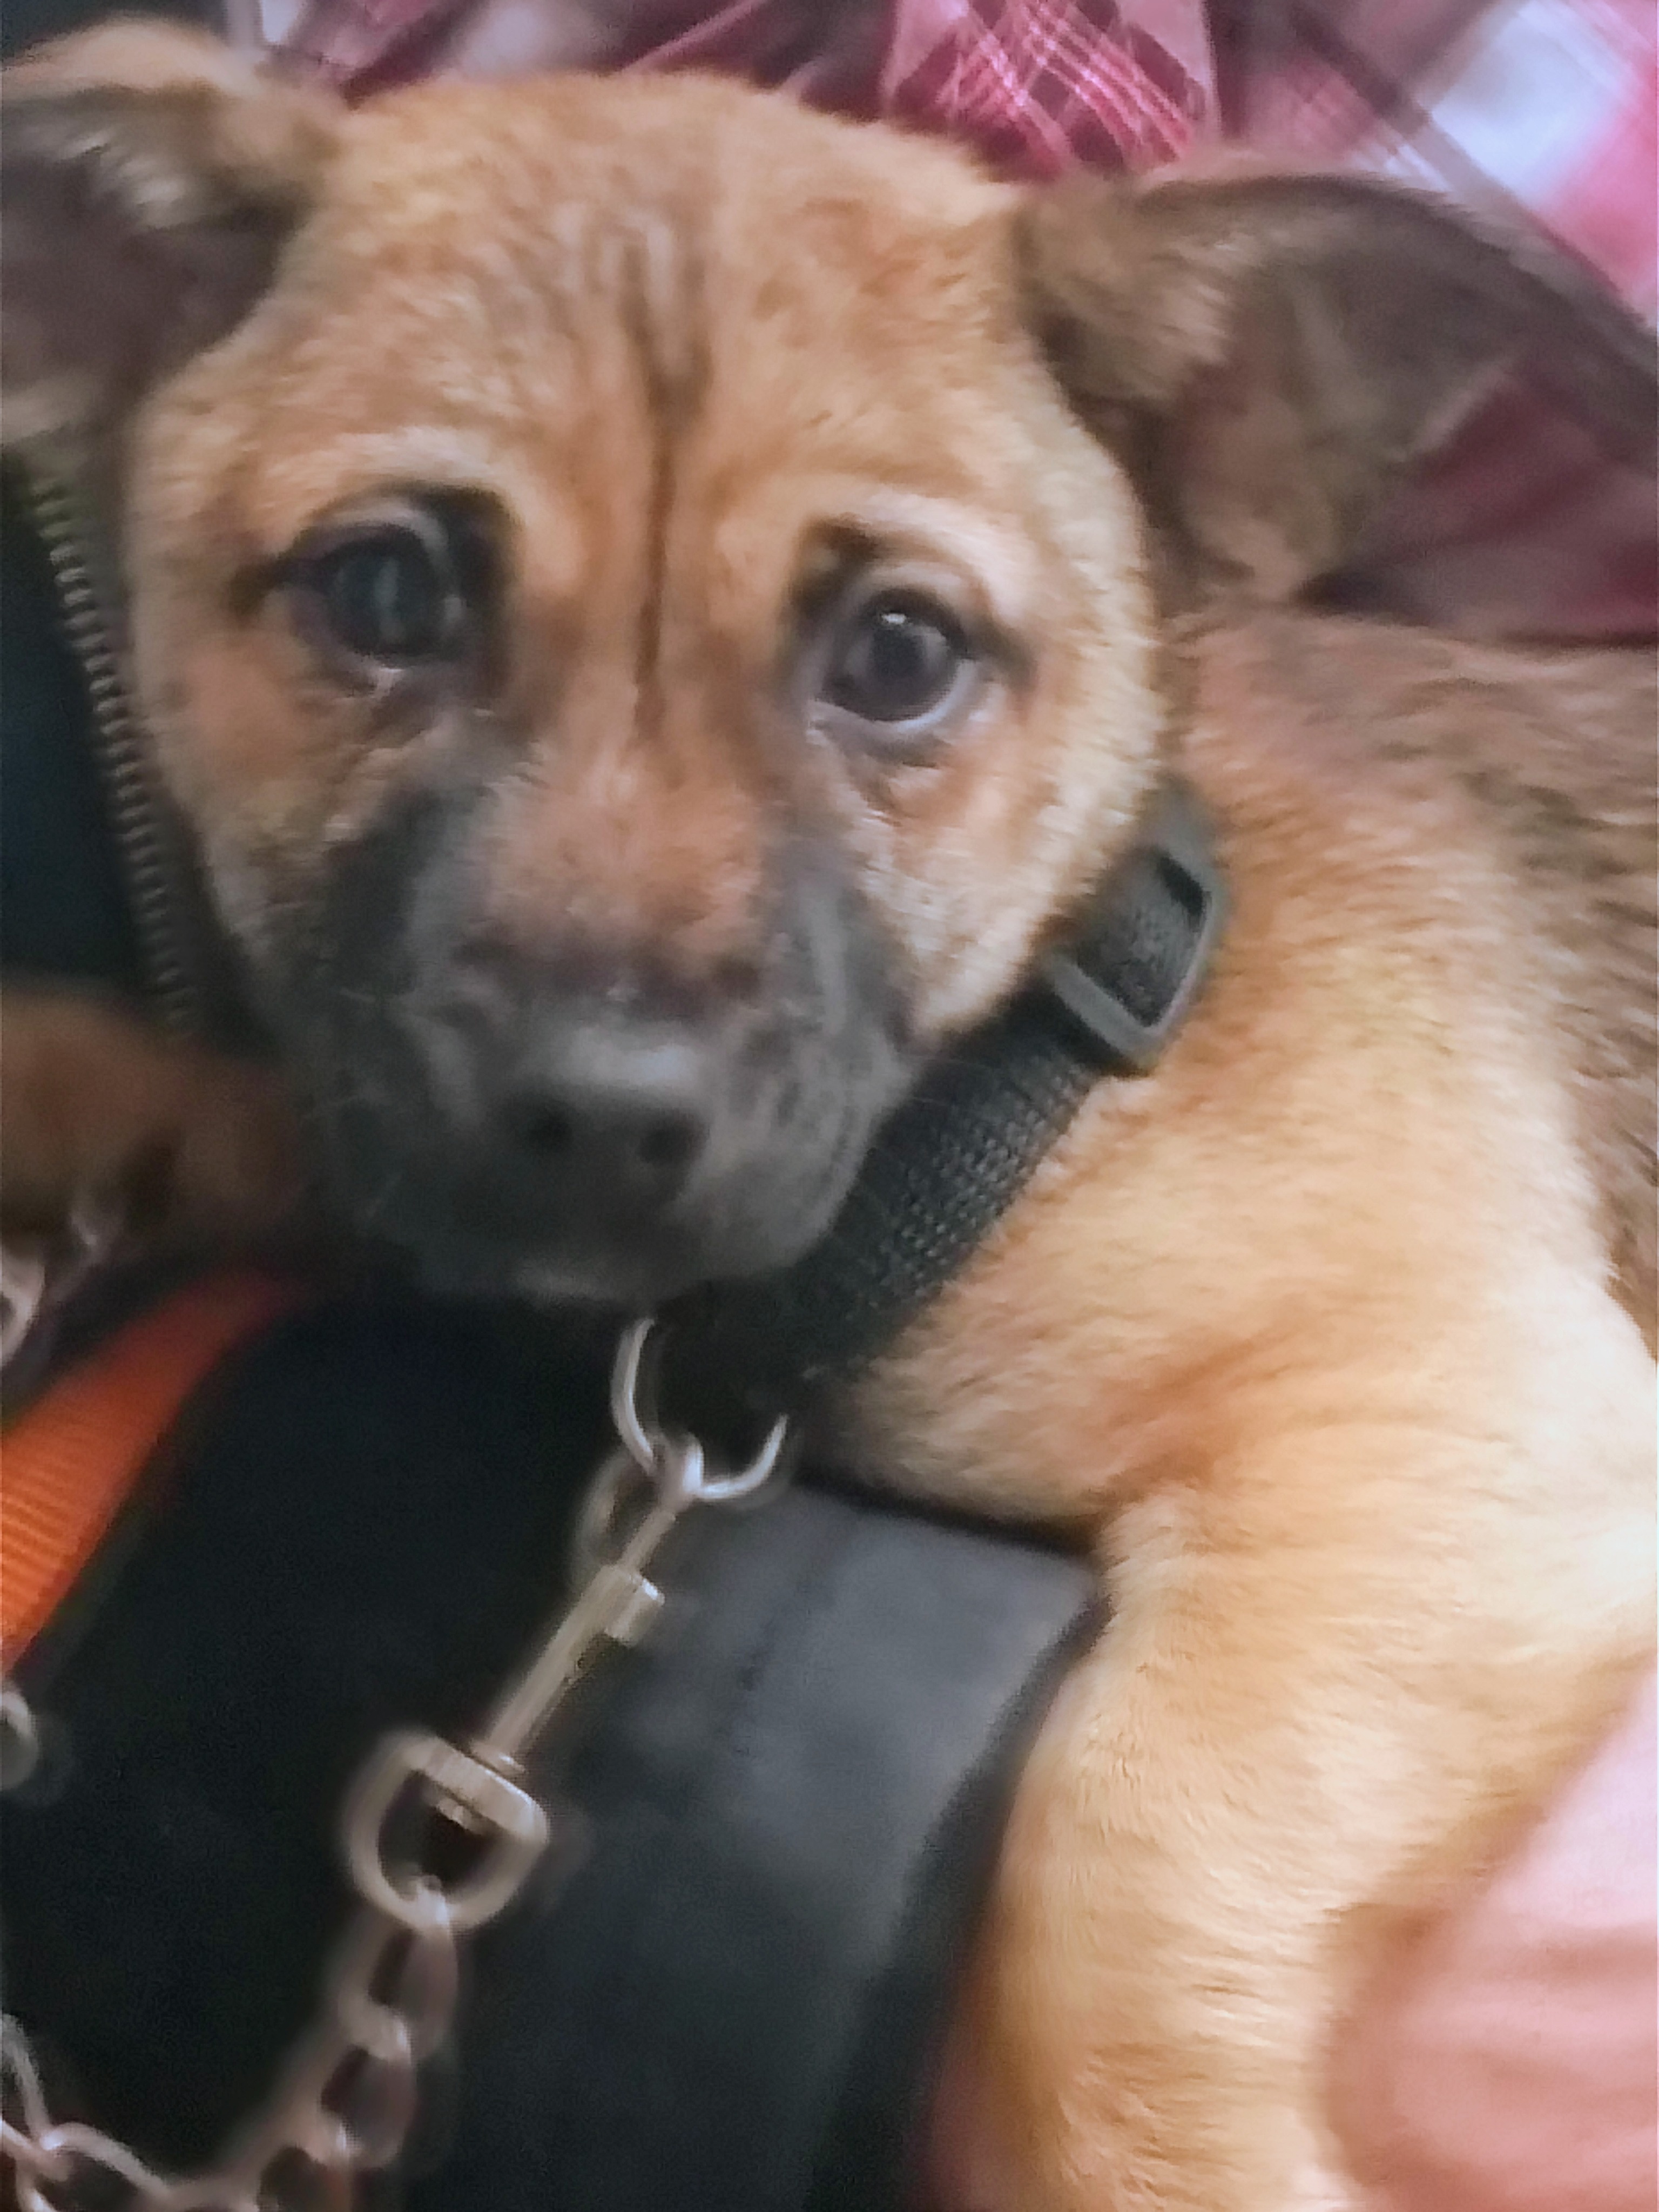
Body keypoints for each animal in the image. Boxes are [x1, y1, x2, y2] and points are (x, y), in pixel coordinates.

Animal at [3, 24, 1654, 2209]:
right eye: (384, 594)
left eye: (897, 656)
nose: (599, 1117)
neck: (1026, 1048)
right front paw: (81, 1083)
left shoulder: (1443, 1406)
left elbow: (1117, 1850)